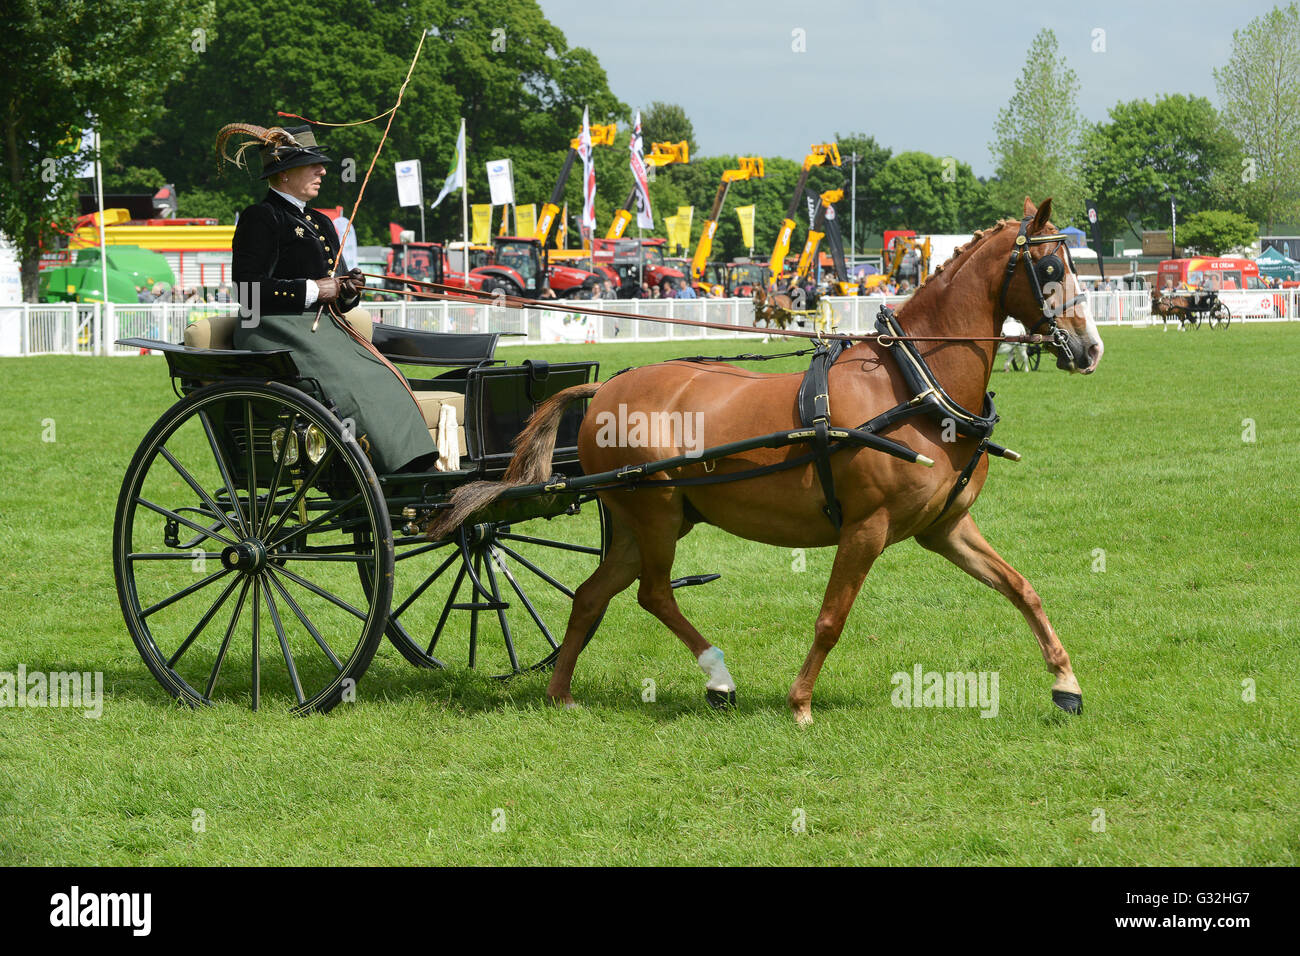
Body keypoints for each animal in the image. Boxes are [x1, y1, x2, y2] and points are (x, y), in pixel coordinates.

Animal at [439, 200, 1107, 723]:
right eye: (1050, 267)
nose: (1089, 347)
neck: (914, 384)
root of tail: (605, 388)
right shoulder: (865, 528)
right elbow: (832, 618)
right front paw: (800, 702)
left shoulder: (946, 527)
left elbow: (1022, 589)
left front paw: (1066, 685)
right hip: (656, 512)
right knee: (653, 593)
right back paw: (717, 676)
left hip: (640, 518)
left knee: (591, 595)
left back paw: (561, 693)